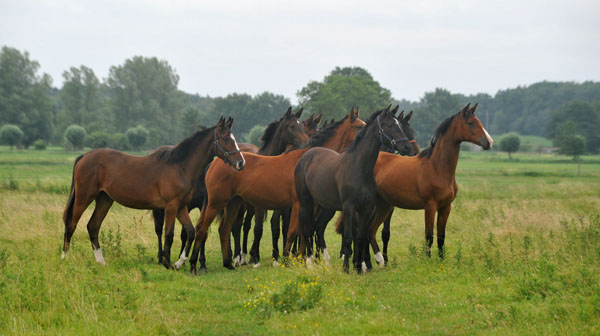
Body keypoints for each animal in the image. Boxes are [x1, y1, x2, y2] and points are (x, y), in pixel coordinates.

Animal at [62, 117, 245, 270]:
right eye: (226, 139)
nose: (241, 163)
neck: (179, 167)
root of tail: (84, 156)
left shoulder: (181, 207)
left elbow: (191, 231)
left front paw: (179, 262)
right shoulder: (171, 206)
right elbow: (169, 234)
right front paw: (167, 263)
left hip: (104, 200)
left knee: (93, 226)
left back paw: (101, 261)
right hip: (84, 197)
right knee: (71, 224)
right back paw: (64, 258)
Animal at [152, 106, 310, 266]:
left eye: (302, 126)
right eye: (292, 126)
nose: (307, 144)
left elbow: (274, 227)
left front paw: (271, 257)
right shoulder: (256, 206)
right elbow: (256, 229)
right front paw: (253, 258)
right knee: (174, 229)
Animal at [188, 108, 366, 272]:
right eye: (358, 126)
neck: (309, 160)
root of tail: (217, 162)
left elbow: (303, 230)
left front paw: (301, 259)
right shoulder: (297, 205)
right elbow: (293, 231)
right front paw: (287, 259)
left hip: (233, 203)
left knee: (224, 228)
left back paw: (228, 263)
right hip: (216, 203)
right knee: (203, 227)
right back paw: (196, 265)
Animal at [292, 107, 412, 272]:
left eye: (399, 124)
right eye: (389, 125)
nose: (407, 147)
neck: (358, 167)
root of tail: (306, 156)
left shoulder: (366, 207)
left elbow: (361, 236)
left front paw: (360, 268)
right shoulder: (349, 207)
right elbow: (349, 237)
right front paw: (347, 268)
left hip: (326, 206)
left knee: (318, 227)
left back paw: (326, 261)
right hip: (306, 202)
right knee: (307, 228)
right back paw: (310, 261)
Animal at [336, 103, 494, 262]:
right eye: (471, 123)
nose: (489, 142)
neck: (437, 168)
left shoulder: (445, 207)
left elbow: (441, 237)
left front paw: (441, 261)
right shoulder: (430, 206)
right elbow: (429, 236)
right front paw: (428, 261)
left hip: (383, 205)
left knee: (370, 231)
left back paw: (379, 260)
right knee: (361, 231)